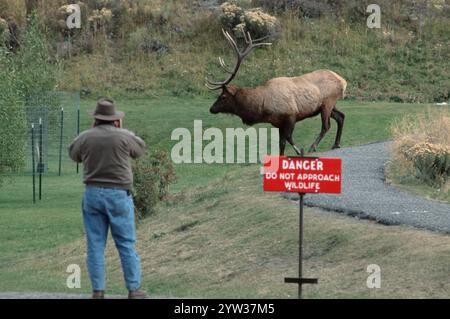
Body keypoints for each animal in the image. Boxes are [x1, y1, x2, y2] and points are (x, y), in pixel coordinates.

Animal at [206, 29, 346, 155]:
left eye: (223, 96)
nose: (211, 109)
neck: (262, 108)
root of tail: (343, 81)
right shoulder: (277, 122)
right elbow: (281, 143)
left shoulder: (291, 115)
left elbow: (288, 138)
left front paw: (300, 151)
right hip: (327, 105)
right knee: (341, 116)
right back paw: (336, 144)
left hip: (328, 102)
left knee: (326, 126)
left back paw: (313, 147)